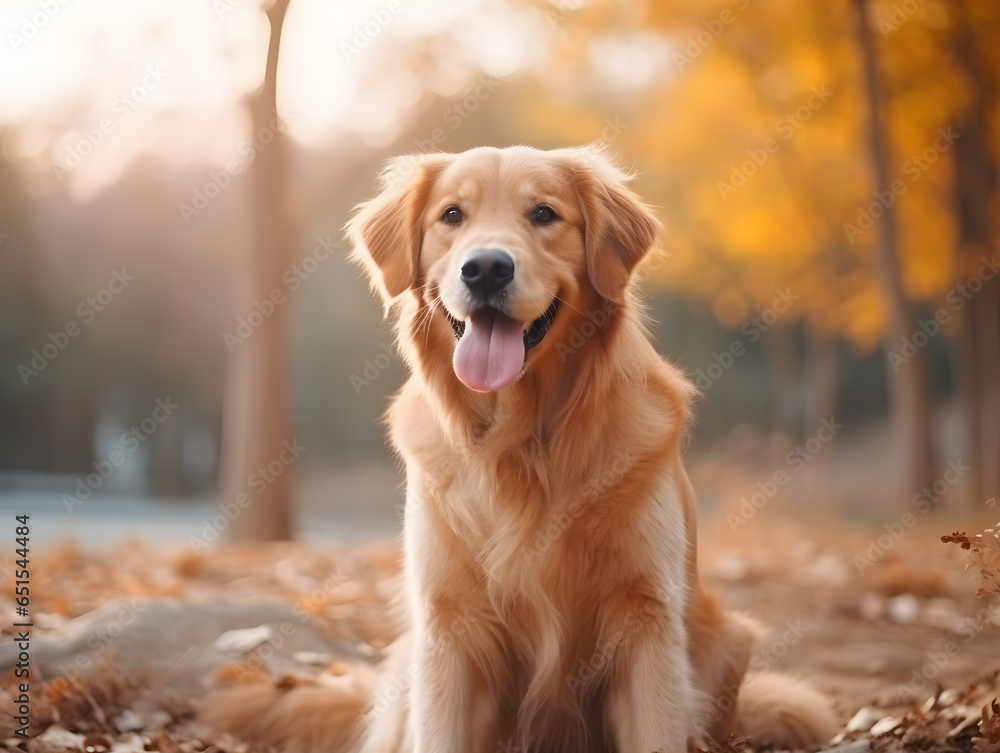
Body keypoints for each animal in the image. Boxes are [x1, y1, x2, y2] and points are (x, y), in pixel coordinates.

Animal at [207, 147, 840, 752]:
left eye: (544, 214)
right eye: (452, 215)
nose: (486, 268)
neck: (521, 441)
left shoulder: (647, 620)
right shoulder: (447, 627)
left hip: (727, 637)